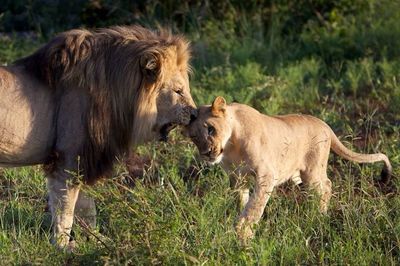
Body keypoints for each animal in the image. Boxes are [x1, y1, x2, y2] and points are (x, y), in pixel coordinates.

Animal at [0, 26, 197, 248]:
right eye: (178, 90)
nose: (195, 114)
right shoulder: (67, 160)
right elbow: (65, 210)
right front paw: (62, 246)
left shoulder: (86, 158)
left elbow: (87, 207)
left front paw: (96, 240)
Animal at [186, 97, 392, 243]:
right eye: (194, 137)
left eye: (211, 129)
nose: (207, 153)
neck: (230, 145)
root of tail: (324, 124)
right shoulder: (237, 177)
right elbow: (242, 201)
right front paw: (239, 223)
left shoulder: (266, 175)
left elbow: (255, 206)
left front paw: (243, 232)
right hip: (298, 175)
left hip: (312, 170)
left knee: (326, 185)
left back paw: (319, 215)